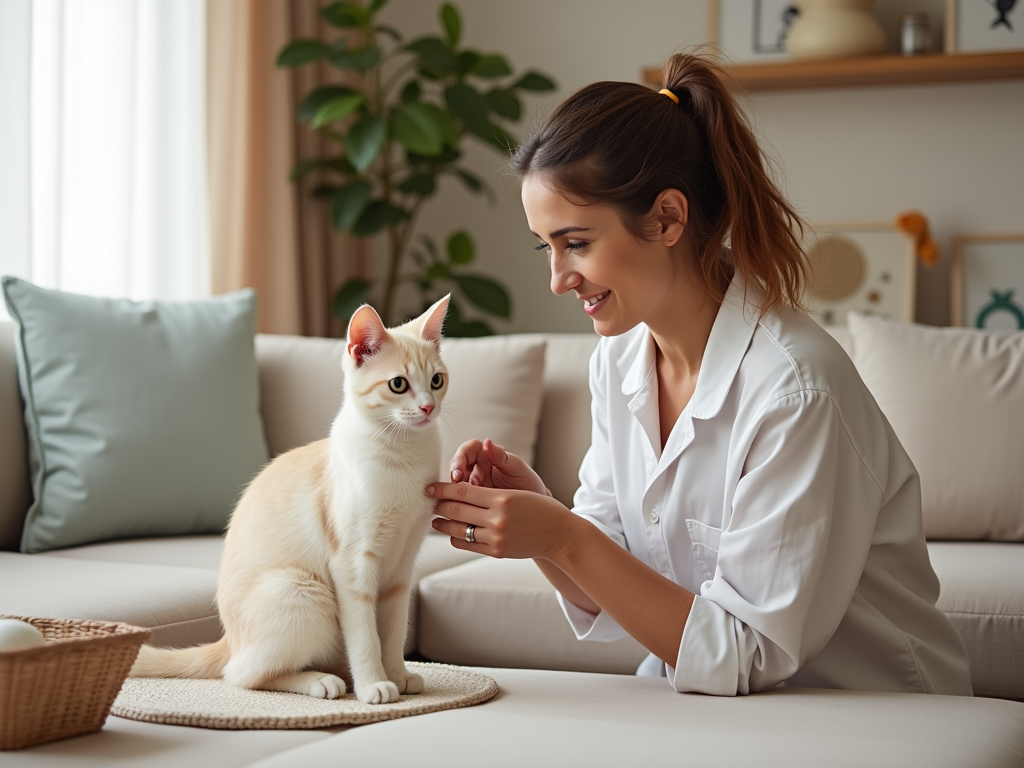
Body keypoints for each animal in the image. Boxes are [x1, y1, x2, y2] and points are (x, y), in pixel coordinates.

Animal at [128, 296, 448, 708]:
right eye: (398, 384)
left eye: (436, 381)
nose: (427, 408)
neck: (405, 456)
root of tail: (230, 640)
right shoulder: (353, 563)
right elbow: (366, 636)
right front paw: (374, 684)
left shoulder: (401, 568)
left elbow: (392, 632)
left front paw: (397, 674)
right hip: (303, 592)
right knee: (242, 675)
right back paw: (320, 681)